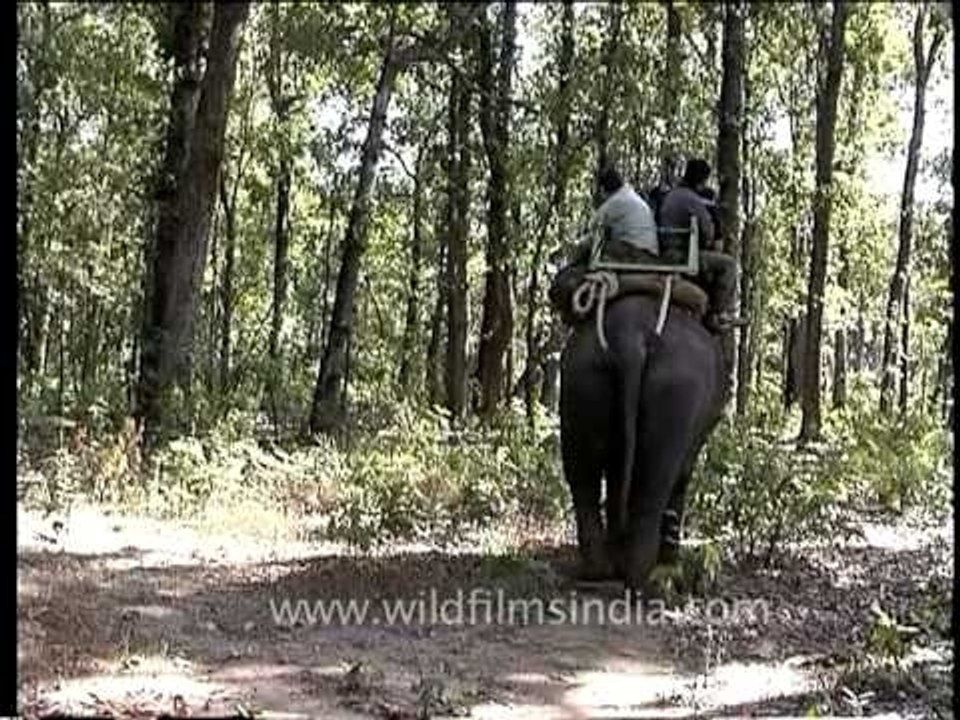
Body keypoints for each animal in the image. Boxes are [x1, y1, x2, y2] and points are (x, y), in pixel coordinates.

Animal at [554, 273, 726, 592]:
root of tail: (630, 336)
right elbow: (681, 478)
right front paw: (671, 569)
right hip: (678, 387)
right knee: (656, 481)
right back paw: (640, 574)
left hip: (581, 376)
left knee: (583, 475)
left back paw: (599, 569)